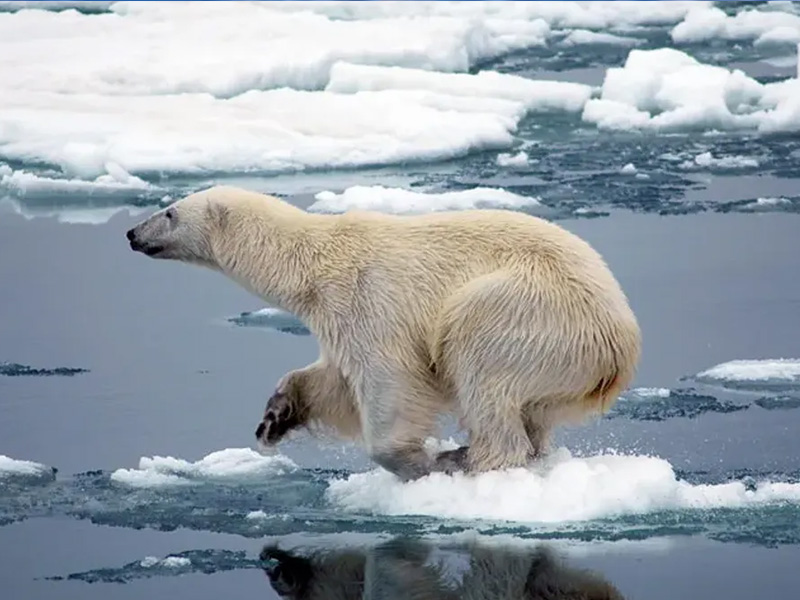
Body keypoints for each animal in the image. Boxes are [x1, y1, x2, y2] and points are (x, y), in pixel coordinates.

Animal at [131, 185, 644, 480]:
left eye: (170, 211)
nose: (133, 233)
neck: (314, 262)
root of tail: (621, 343)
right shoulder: (336, 316)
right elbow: (332, 381)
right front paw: (275, 416)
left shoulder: (369, 300)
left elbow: (390, 382)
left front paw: (416, 461)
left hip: (531, 312)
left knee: (480, 362)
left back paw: (468, 459)